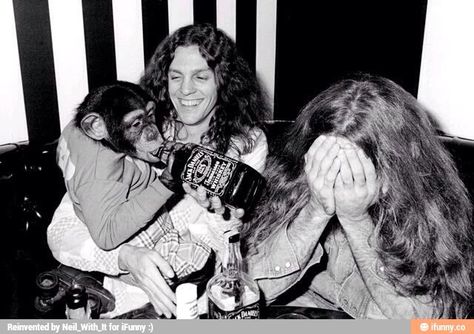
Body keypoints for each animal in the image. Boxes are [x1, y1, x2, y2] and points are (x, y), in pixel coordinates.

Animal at [56, 81, 178, 249]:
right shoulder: (101, 176)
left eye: (151, 115)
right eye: (136, 123)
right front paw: (171, 171)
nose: (152, 132)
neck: (107, 144)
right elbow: (107, 231)